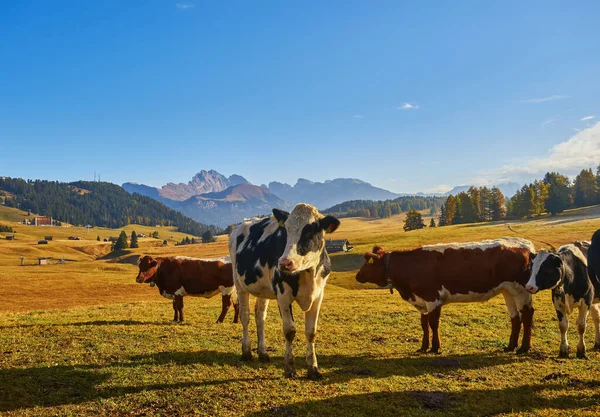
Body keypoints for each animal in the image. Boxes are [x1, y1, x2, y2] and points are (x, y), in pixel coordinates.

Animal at [230, 203, 340, 378]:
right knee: (245, 316)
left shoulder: (318, 295)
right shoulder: (282, 295)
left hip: (263, 290)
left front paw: (313, 368)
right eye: (285, 230)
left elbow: (311, 331)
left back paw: (263, 353)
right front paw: (289, 368)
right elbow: (289, 331)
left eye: (310, 231)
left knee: (260, 316)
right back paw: (246, 352)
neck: (308, 273)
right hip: (239, 284)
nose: (284, 263)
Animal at [356, 237, 536, 354]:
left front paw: (435, 347)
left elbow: (433, 324)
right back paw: (511, 346)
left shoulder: (433, 298)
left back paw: (523, 348)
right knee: (515, 317)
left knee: (526, 315)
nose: (357, 276)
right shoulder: (422, 301)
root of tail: (525, 244)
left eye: (369, 262)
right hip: (508, 291)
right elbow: (424, 324)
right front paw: (423, 347)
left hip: (521, 290)